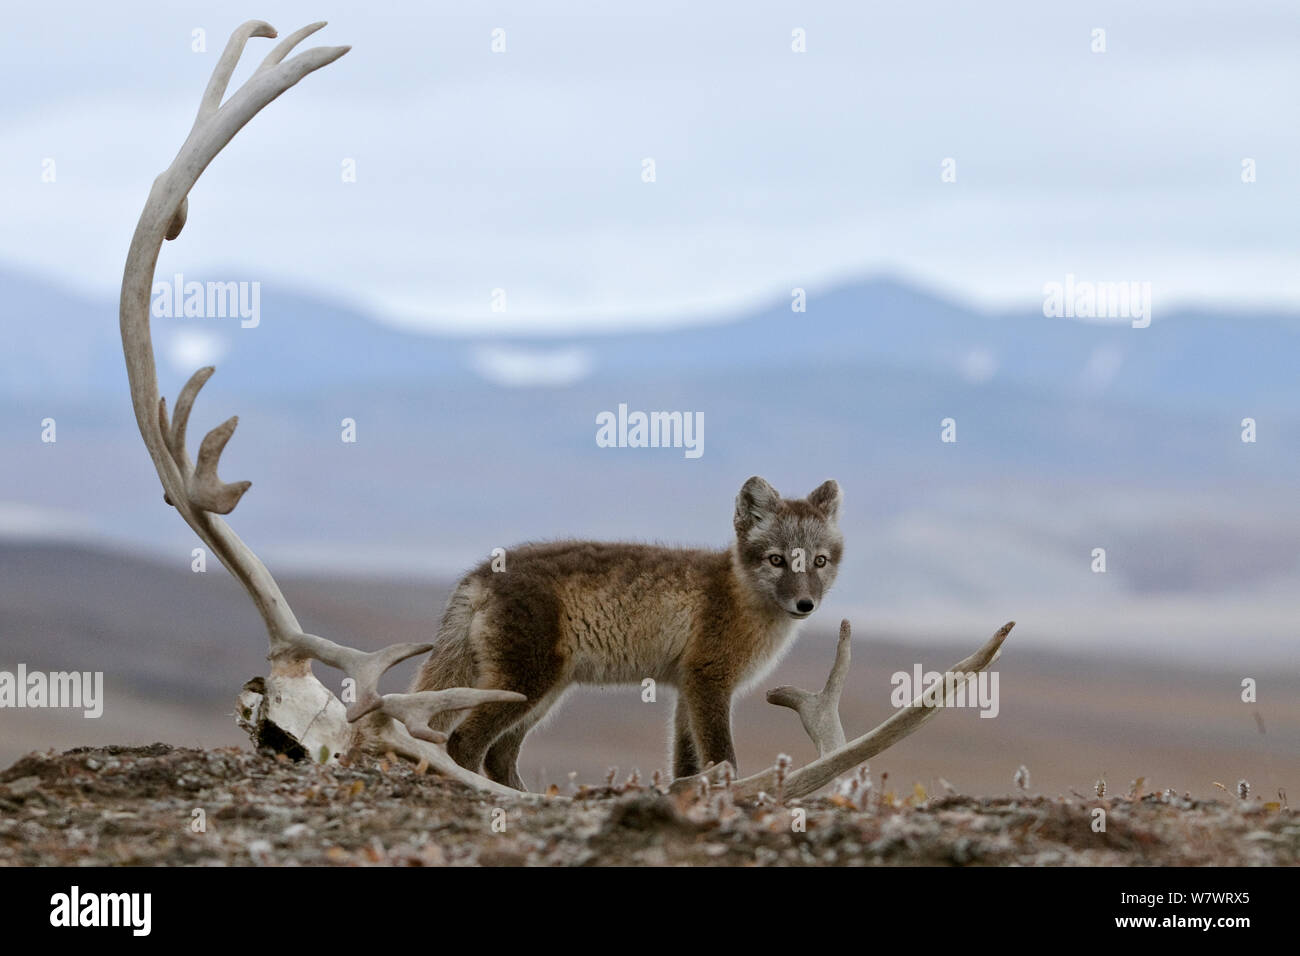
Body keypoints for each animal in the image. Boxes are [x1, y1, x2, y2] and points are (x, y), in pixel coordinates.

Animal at [410, 476, 847, 790]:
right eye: (776, 560)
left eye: (819, 561)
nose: (805, 605)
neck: (738, 591)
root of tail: (479, 575)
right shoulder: (709, 681)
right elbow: (724, 760)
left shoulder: (686, 688)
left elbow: (685, 765)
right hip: (525, 684)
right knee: (463, 743)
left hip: (544, 693)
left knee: (499, 755)